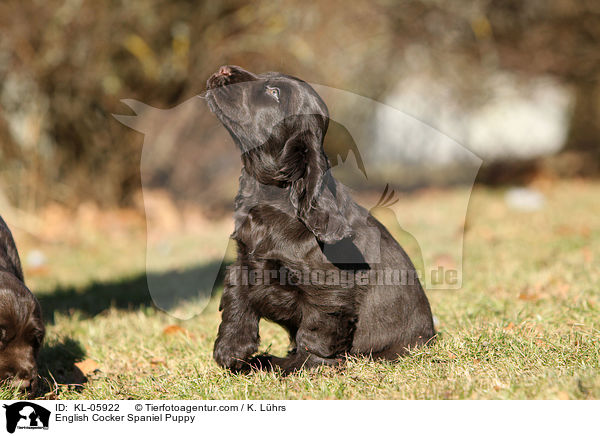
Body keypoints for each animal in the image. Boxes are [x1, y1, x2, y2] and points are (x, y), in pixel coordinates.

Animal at [206, 65, 436, 374]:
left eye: (274, 92)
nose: (223, 69)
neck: (274, 201)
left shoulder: (329, 286)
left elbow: (315, 330)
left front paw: (300, 366)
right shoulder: (245, 261)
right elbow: (236, 301)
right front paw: (231, 351)